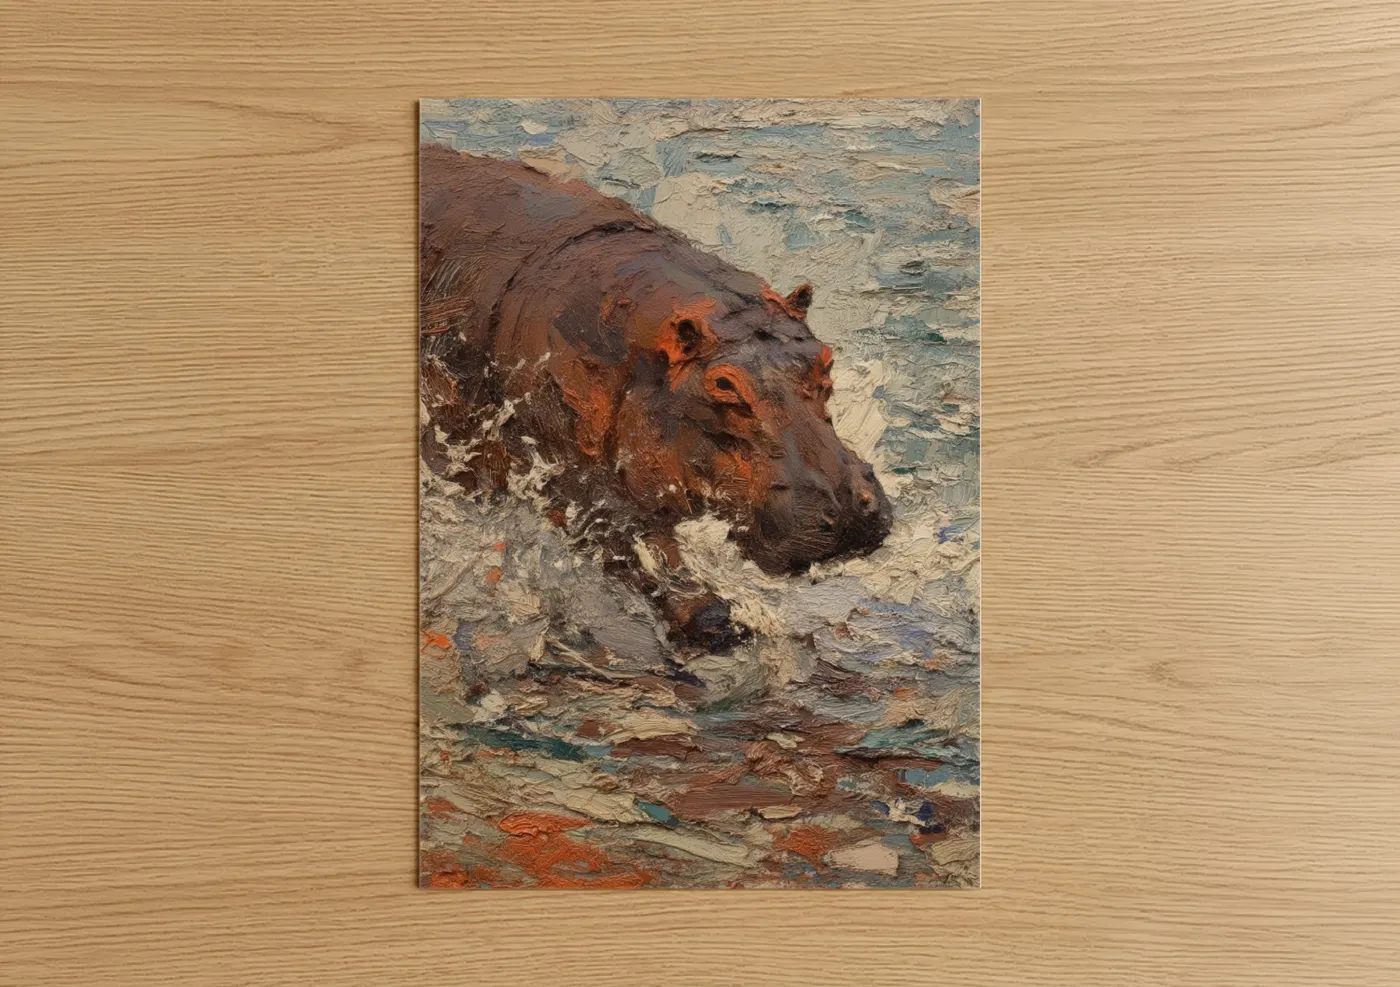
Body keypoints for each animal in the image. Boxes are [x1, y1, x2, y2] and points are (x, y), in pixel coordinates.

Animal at [420, 144, 892, 640]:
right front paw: (722, 620)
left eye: (826, 358)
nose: (846, 505)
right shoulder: (567, 479)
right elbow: (646, 554)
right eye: (722, 385)